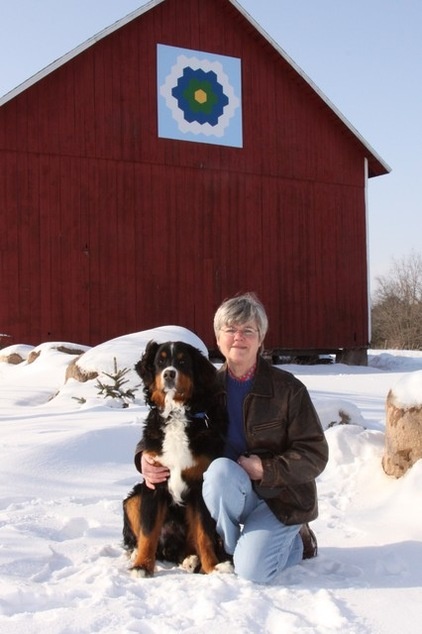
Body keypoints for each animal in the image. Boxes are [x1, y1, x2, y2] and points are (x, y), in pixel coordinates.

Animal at [123, 338, 232, 576]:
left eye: (182, 362)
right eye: (160, 361)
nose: (169, 374)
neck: (176, 414)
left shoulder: (199, 485)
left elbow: (204, 534)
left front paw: (212, 567)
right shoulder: (154, 482)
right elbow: (148, 533)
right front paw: (142, 566)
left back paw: (191, 559)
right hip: (134, 499)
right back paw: (136, 554)